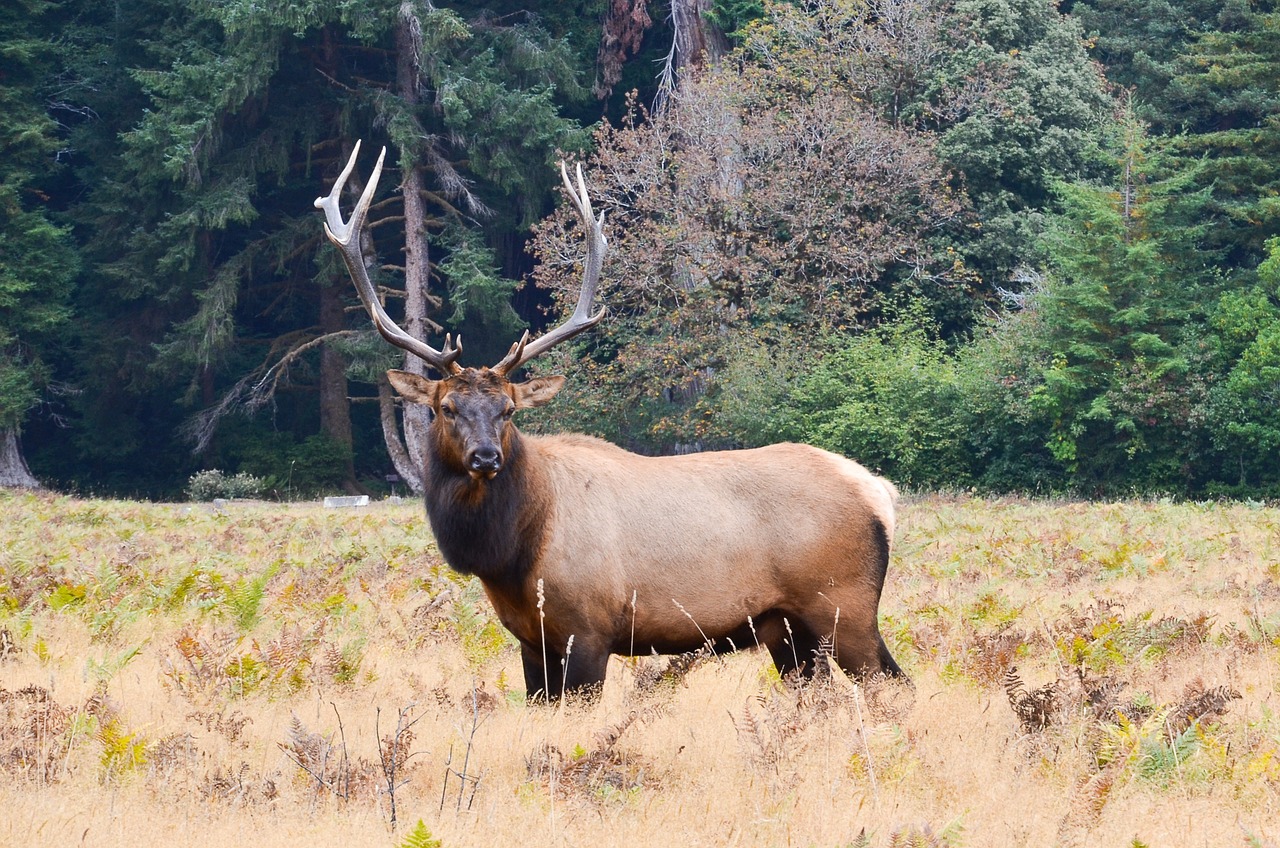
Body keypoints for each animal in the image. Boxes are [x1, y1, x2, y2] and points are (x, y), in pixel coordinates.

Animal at [316, 141, 905, 700]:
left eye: (508, 410)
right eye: (446, 408)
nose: (486, 456)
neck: (513, 555)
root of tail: (879, 491)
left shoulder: (589, 630)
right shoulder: (531, 639)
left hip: (845, 604)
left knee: (894, 686)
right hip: (785, 628)